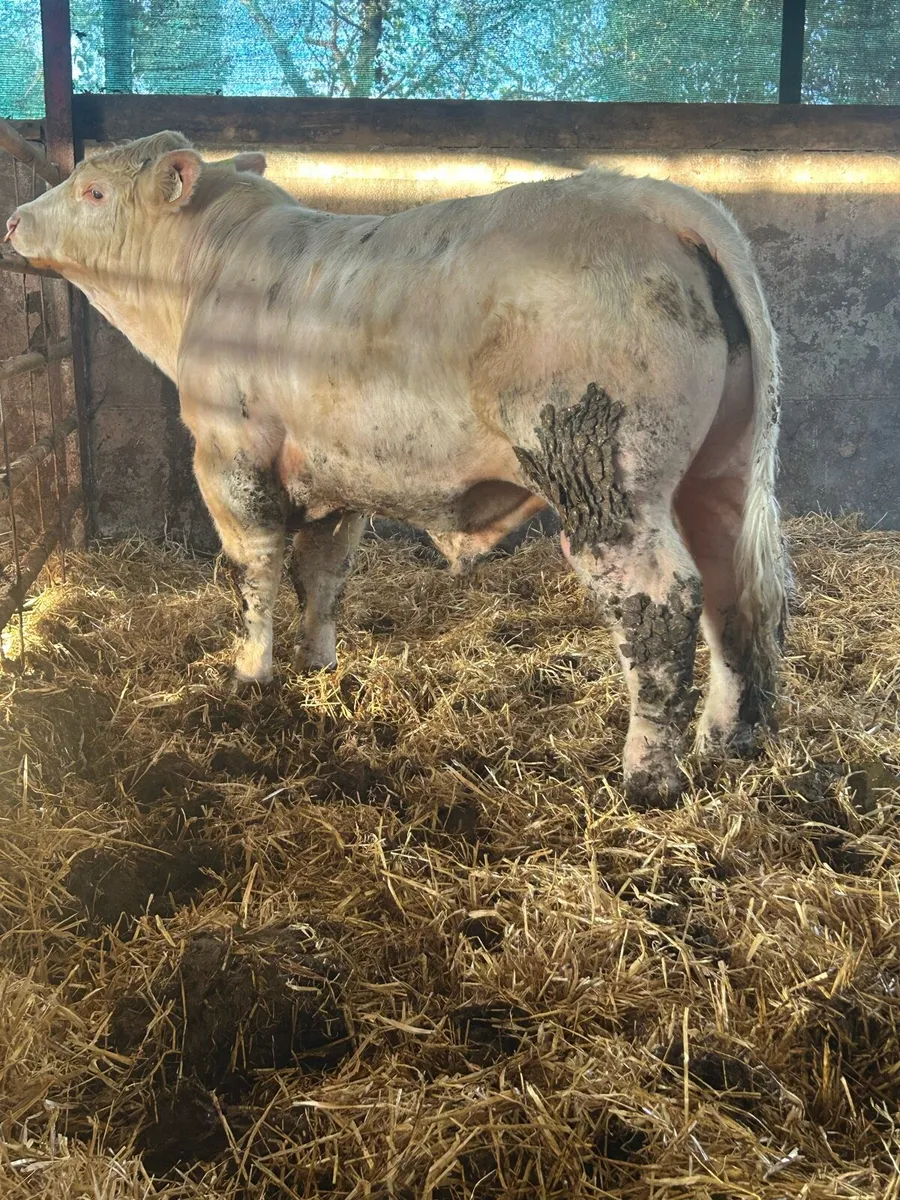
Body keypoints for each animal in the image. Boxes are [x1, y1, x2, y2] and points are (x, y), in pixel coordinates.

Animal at [6, 131, 788, 806]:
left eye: (95, 191)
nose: (13, 220)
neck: (203, 277)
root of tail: (658, 198)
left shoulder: (231, 459)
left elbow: (253, 575)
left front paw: (250, 675)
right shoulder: (334, 476)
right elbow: (323, 573)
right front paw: (318, 663)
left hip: (604, 474)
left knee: (662, 599)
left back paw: (649, 775)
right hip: (717, 474)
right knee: (735, 589)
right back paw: (725, 738)